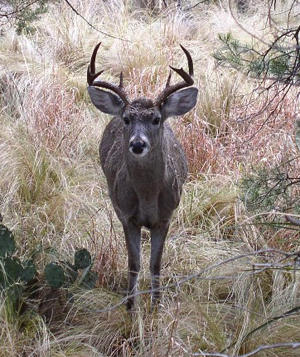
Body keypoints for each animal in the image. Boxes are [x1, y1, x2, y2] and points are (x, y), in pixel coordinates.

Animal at [86, 42, 198, 308]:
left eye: (156, 119)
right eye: (127, 119)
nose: (137, 144)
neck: (147, 197)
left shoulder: (166, 217)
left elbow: (155, 265)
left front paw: (156, 306)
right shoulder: (128, 217)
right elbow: (134, 264)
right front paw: (130, 307)